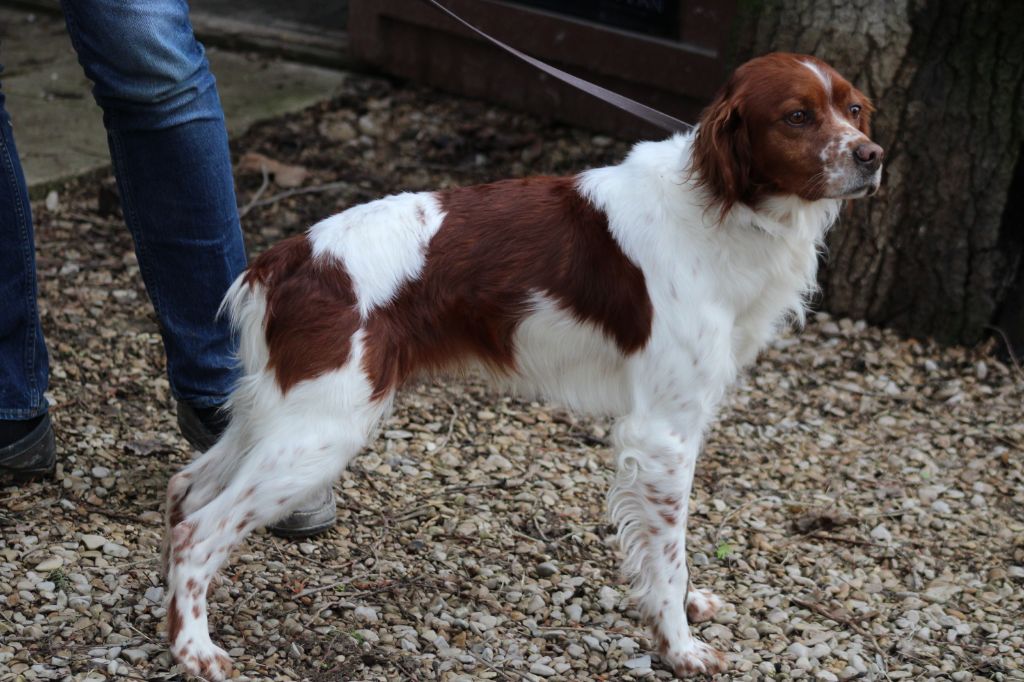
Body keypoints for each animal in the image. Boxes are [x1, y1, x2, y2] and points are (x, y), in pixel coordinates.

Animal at [163, 51, 884, 675]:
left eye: (854, 109)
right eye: (797, 116)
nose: (873, 157)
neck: (722, 209)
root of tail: (289, 257)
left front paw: (681, 612)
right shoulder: (664, 432)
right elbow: (669, 550)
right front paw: (679, 646)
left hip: (279, 413)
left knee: (185, 489)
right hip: (322, 430)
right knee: (198, 532)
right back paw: (195, 652)